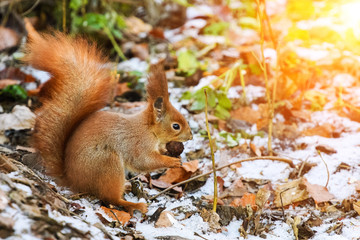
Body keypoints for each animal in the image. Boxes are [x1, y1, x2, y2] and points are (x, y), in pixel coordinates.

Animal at [22, 21, 193, 214]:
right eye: (176, 126)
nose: (191, 136)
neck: (149, 129)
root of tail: (74, 181)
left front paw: (168, 152)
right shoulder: (138, 144)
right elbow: (144, 161)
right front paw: (172, 161)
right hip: (108, 164)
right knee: (110, 198)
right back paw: (135, 204)